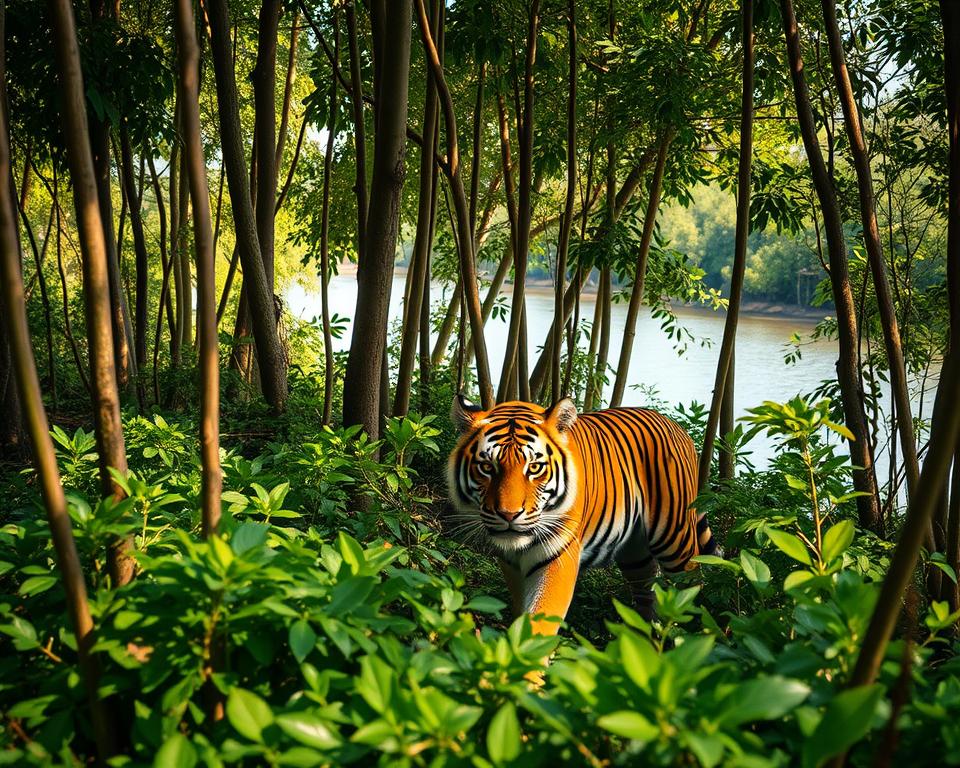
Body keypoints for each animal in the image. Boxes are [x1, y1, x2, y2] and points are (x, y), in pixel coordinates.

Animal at [447, 395, 718, 634]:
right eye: (486, 467)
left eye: (534, 467)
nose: (508, 514)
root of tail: (677, 427)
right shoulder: (510, 563)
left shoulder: (558, 556)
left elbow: (540, 620)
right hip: (635, 552)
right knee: (647, 592)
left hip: (675, 541)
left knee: (691, 585)